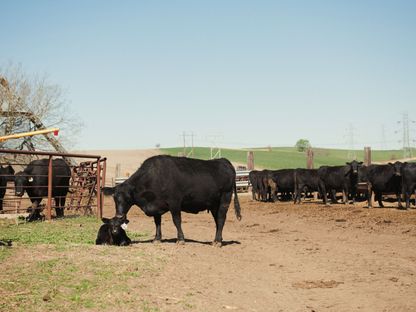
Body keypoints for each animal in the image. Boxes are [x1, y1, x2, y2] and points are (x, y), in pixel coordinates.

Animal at [102, 155, 242, 246]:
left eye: (128, 198)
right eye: (114, 198)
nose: (119, 216)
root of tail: (224, 161)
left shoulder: (174, 203)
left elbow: (177, 221)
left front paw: (180, 239)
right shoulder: (156, 206)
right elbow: (157, 222)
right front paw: (157, 239)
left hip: (225, 199)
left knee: (221, 218)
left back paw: (217, 242)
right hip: (214, 204)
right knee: (217, 220)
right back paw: (218, 239)